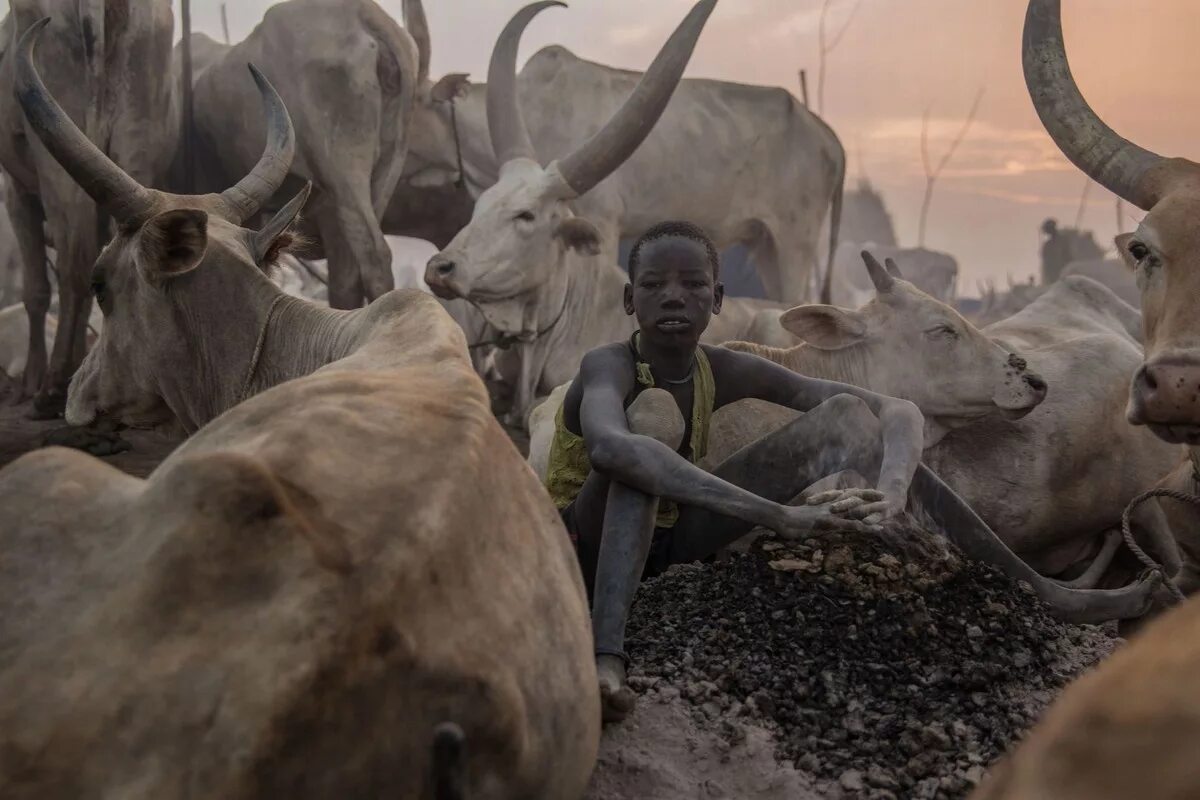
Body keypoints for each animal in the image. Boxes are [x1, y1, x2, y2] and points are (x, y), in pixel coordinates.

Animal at [0, 4, 177, 419]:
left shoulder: (17, 193)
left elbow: (36, 290)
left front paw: (32, 380)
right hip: (136, 137)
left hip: (59, 154)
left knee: (74, 263)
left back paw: (51, 386)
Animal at [403, 0, 844, 307]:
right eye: (480, 208)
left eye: (526, 215)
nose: (440, 269)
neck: (536, 104)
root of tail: (827, 135)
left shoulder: (602, 220)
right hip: (763, 243)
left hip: (794, 241)